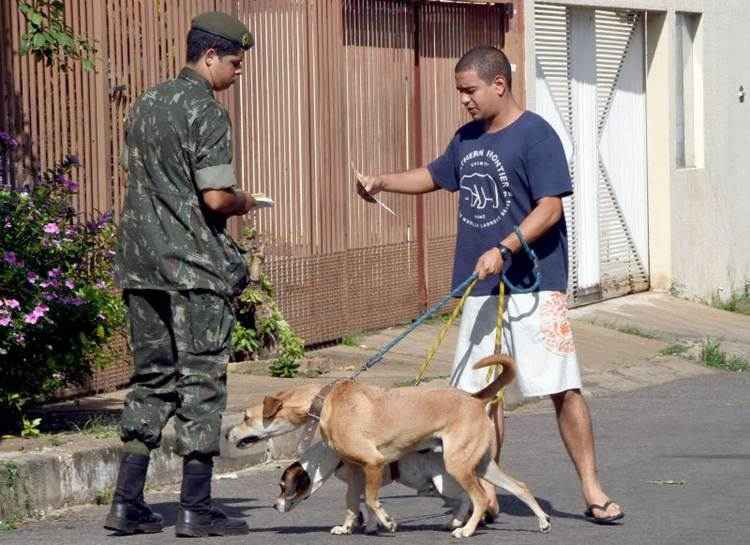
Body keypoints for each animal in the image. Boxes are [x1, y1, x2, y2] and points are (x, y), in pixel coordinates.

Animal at [226, 352, 548, 536]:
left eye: (245, 417)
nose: (228, 434)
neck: (324, 401)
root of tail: (474, 399)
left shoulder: (373, 463)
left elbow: (370, 500)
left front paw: (388, 523)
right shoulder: (357, 471)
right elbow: (351, 502)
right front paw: (349, 527)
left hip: (459, 465)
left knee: (479, 498)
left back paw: (466, 530)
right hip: (480, 465)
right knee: (519, 487)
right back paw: (542, 522)